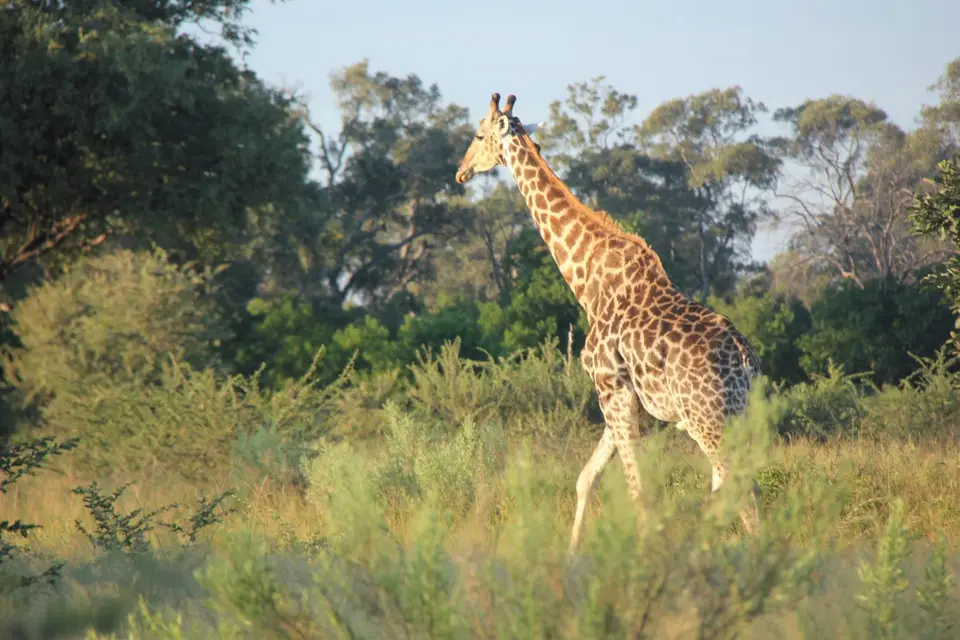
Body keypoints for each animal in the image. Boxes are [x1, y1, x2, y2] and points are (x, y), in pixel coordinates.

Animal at [455, 93, 762, 552]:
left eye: (477, 135)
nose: (461, 171)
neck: (588, 281)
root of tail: (744, 358)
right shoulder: (620, 398)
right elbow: (586, 479)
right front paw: (572, 553)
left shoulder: (610, 389)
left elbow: (637, 491)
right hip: (739, 412)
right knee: (734, 485)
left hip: (706, 416)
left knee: (739, 487)